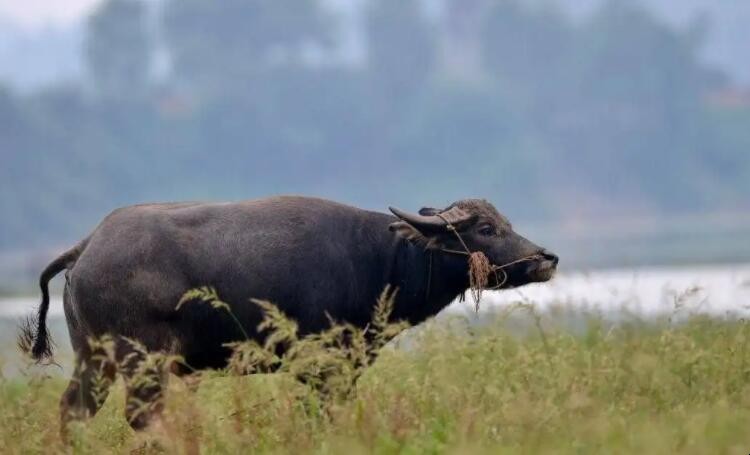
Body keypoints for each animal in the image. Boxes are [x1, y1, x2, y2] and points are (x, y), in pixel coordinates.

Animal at [19, 195, 560, 432]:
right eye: (486, 228)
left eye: (505, 222)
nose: (547, 258)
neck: (378, 258)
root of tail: (87, 247)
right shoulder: (324, 367)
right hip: (142, 364)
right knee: (142, 418)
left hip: (95, 361)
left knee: (73, 412)